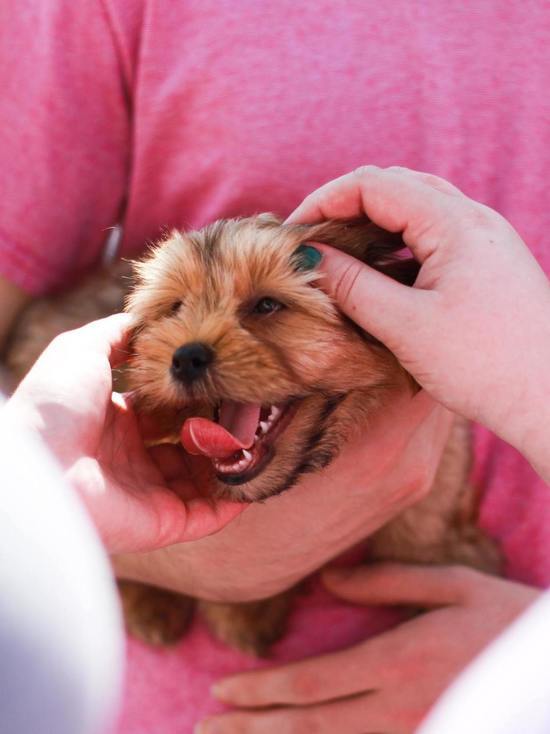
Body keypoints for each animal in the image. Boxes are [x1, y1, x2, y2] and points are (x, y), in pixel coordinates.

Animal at [2, 213, 502, 656]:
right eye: (175, 308)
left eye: (266, 305)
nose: (185, 357)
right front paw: (245, 611)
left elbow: (428, 509)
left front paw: (440, 560)